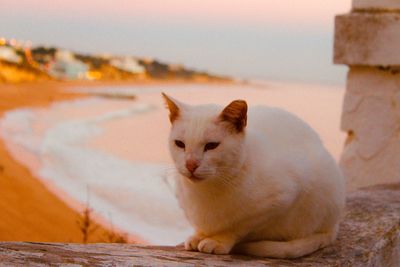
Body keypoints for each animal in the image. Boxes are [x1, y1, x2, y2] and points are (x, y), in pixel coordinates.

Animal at [162, 93, 344, 260]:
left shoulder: (280, 200)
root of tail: (334, 226)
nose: (190, 165)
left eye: (211, 146)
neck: (204, 191)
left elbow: (237, 227)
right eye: (180, 144)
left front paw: (219, 240)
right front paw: (199, 236)